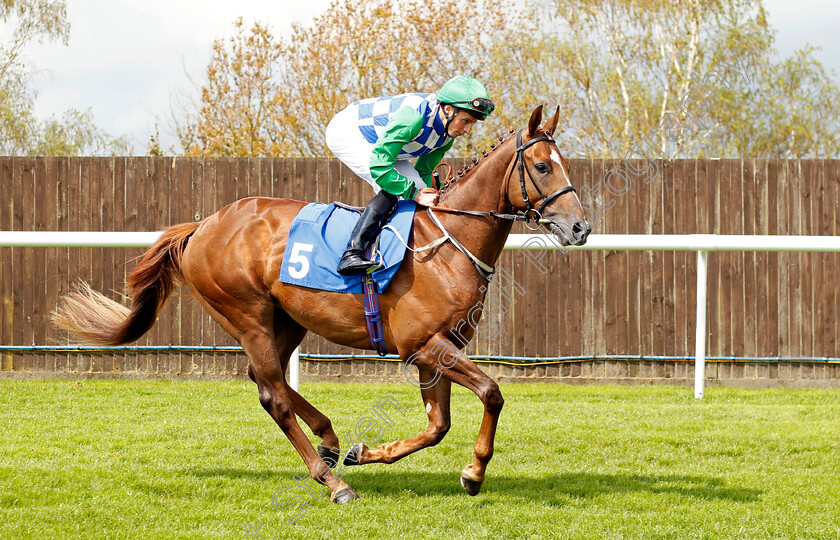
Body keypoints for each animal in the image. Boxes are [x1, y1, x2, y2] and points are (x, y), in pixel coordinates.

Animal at [52, 104, 592, 502]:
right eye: (542, 166)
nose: (580, 227)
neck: (447, 243)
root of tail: (204, 225)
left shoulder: (435, 349)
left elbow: (438, 425)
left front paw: (366, 451)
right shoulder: (422, 344)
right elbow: (492, 393)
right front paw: (475, 471)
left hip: (287, 318)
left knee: (264, 380)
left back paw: (330, 442)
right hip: (245, 313)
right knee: (272, 394)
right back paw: (331, 481)